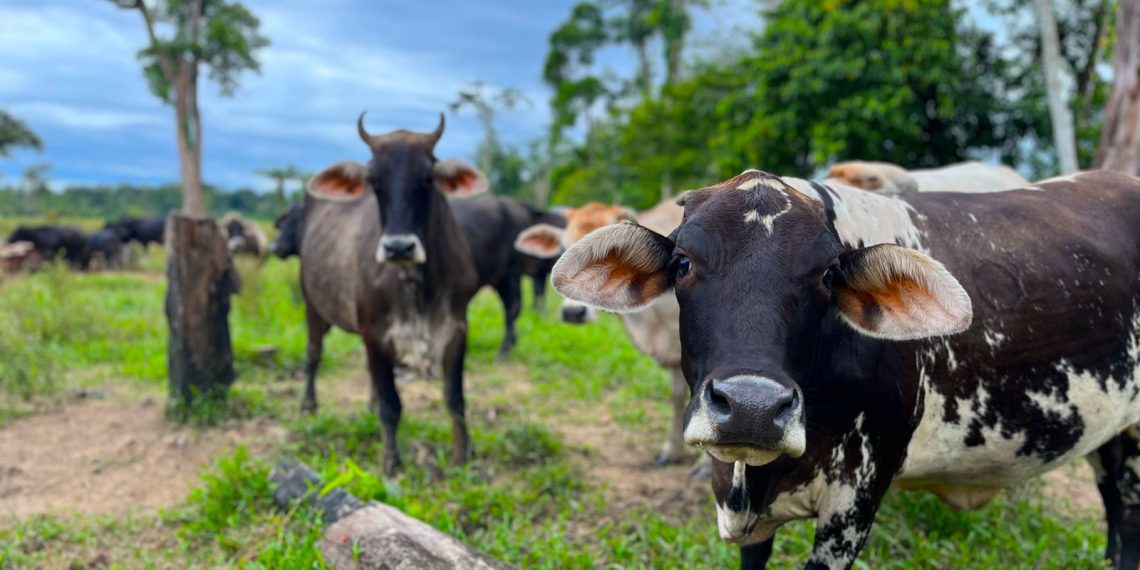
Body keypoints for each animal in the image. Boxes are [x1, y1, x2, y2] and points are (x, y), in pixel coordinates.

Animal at [298, 112, 486, 474]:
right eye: (375, 180)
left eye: (428, 177)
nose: (398, 247)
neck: (416, 283)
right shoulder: (375, 333)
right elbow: (391, 405)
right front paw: (391, 462)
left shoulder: (458, 329)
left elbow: (454, 398)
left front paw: (463, 455)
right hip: (312, 304)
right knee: (313, 354)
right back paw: (308, 403)